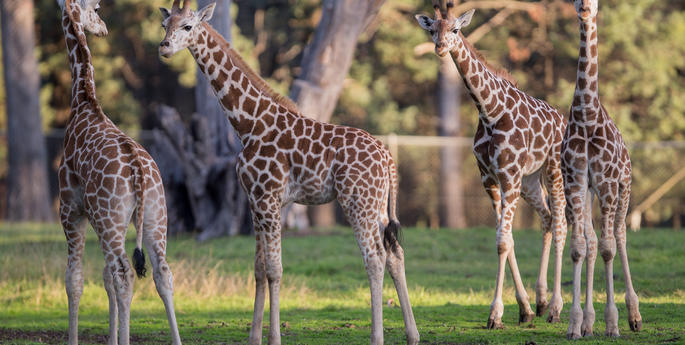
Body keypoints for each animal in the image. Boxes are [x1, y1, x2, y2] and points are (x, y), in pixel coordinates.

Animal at [57, 1, 182, 342]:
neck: (84, 102)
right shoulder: (107, 221)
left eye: (96, 7)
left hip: (109, 219)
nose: (103, 29)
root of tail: (137, 169)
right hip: (154, 215)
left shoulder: (70, 210)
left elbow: (74, 279)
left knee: (125, 273)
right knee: (161, 272)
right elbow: (104, 278)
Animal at [158, 1, 420, 342]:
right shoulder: (255, 202)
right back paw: (413, 335)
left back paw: (377, 337)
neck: (247, 124)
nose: (163, 47)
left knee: (374, 258)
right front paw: (254, 337)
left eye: (188, 26)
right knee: (395, 254)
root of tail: (388, 157)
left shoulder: (269, 199)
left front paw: (274, 338)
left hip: (357, 202)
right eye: (165, 24)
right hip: (377, 204)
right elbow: (258, 269)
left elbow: (275, 270)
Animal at [414, 0, 568, 328]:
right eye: (432, 29)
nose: (440, 48)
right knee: (548, 218)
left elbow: (502, 241)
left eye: (455, 29)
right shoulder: (489, 179)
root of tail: (564, 122)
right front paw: (524, 309)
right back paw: (542, 301)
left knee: (561, 223)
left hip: (554, 171)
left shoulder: (508, 176)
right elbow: (505, 239)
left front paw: (495, 314)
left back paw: (557, 307)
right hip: (530, 181)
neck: (489, 111)